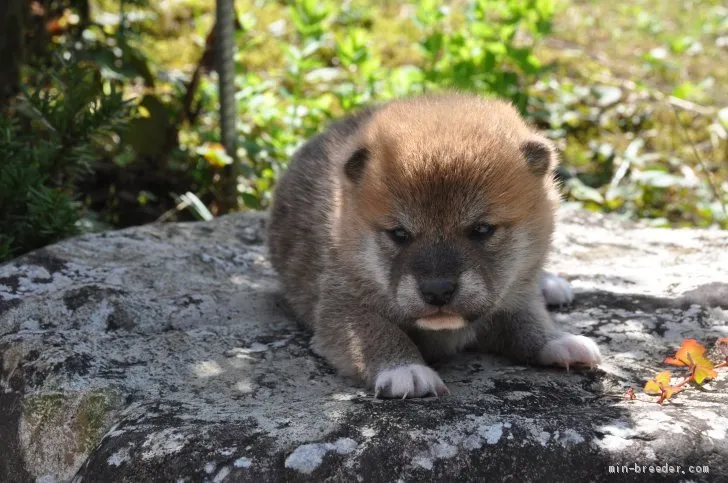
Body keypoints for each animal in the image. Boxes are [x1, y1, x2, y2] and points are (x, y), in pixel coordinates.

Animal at [270, 92, 600, 398]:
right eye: (399, 234)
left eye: (482, 229)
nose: (438, 290)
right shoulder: (341, 306)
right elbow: (376, 331)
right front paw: (405, 370)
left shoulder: (513, 297)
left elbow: (530, 321)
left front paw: (559, 341)